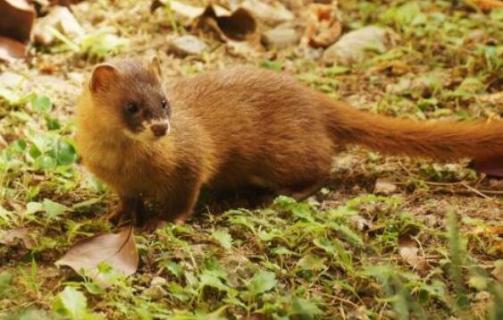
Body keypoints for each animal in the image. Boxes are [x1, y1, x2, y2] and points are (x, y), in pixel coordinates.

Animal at [76, 57, 503, 226]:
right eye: (132, 106)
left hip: (284, 154)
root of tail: (312, 97)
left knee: (323, 165)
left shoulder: (191, 163)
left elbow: (184, 196)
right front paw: (115, 215)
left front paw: (163, 221)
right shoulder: (118, 180)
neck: (125, 163)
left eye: (164, 101)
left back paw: (281, 195)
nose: (162, 127)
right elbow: (127, 200)